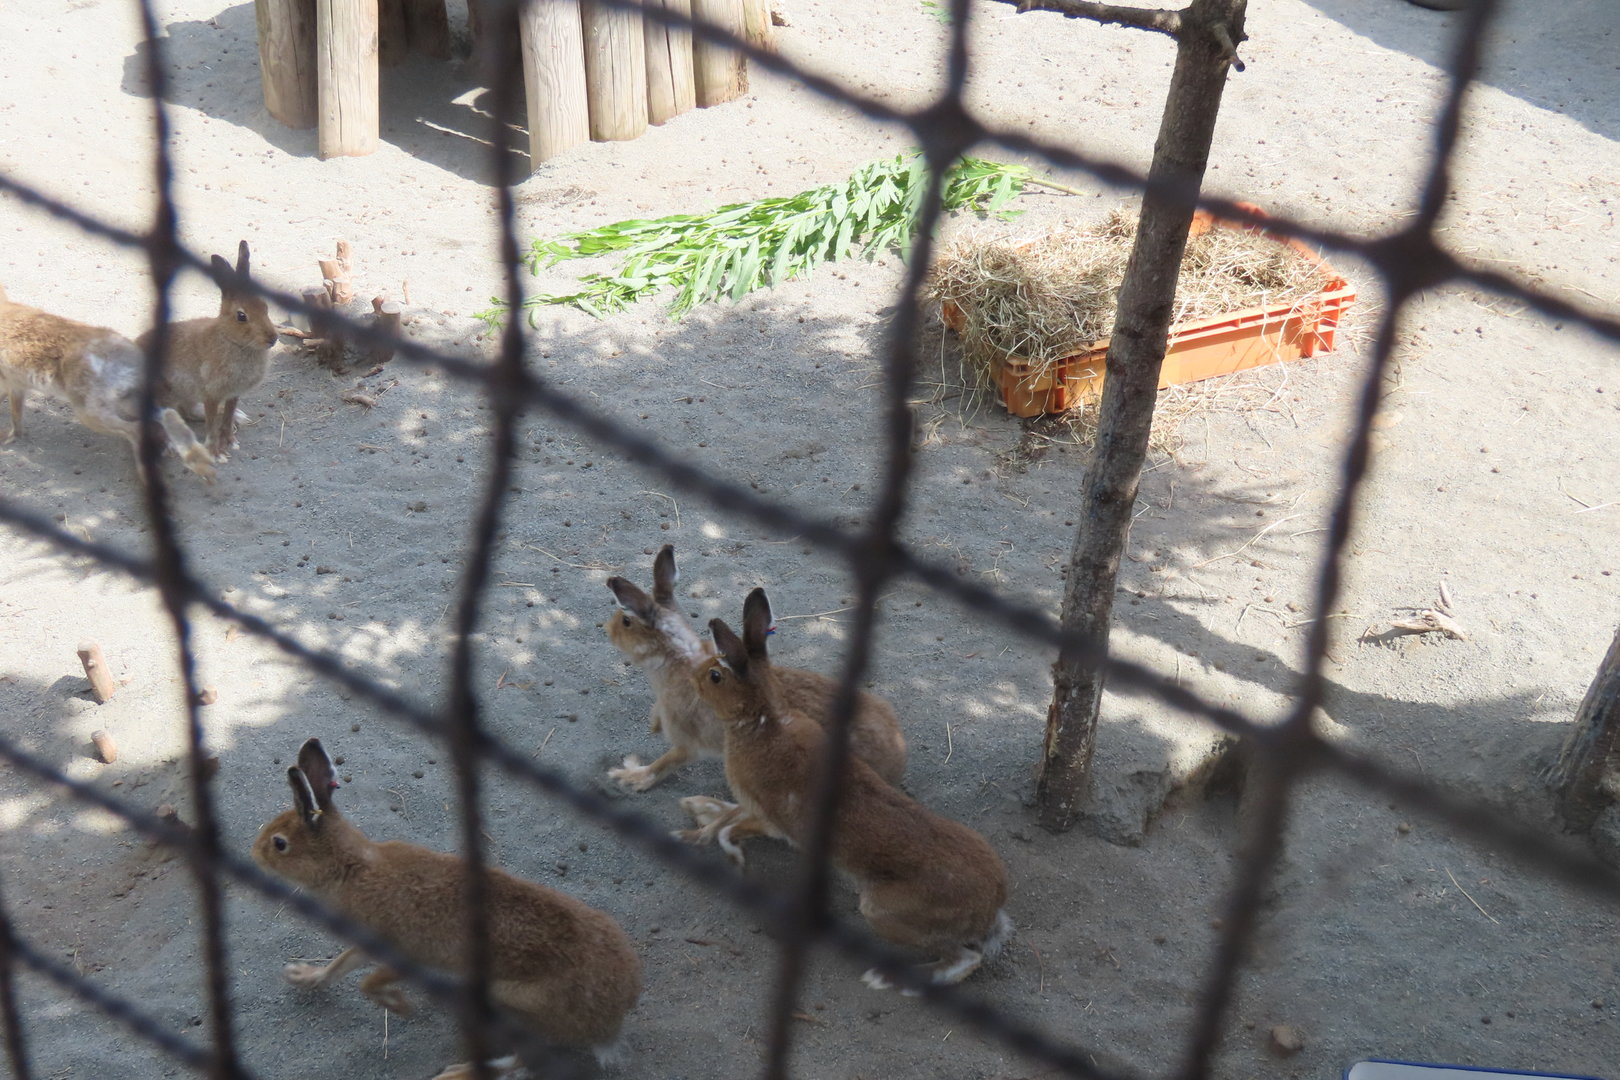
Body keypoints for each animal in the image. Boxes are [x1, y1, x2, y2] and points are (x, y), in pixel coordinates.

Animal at [0, 285, 216, 482]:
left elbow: (14, 411)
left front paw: (9, 438)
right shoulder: (16, 386)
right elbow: (17, 413)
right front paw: (15, 435)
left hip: (90, 412)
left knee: (135, 429)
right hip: (129, 400)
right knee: (167, 415)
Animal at [136, 240, 278, 460]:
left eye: (265, 307)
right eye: (241, 316)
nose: (273, 339)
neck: (231, 340)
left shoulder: (232, 394)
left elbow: (227, 417)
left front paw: (231, 441)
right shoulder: (211, 393)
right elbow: (211, 426)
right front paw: (215, 453)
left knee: (187, 412)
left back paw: (239, 418)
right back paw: (168, 446)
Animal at [251, 738, 642, 1076]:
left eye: (279, 843)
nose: (254, 855)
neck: (352, 869)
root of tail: (611, 1021)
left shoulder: (404, 952)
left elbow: (368, 982)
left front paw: (400, 1006)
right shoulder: (367, 943)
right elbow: (340, 967)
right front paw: (304, 977)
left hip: (514, 1005)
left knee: (522, 1062)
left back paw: (456, 1073)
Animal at [604, 543, 907, 800]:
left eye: (626, 620)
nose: (608, 630)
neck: (677, 659)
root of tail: (897, 751)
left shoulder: (687, 740)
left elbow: (665, 763)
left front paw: (629, 778)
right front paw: (652, 725)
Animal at [690, 588, 1012, 990]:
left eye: (715, 675)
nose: (692, 677)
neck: (762, 721)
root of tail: (990, 906)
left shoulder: (769, 816)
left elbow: (731, 830)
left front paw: (733, 858)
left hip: (884, 912)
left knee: (962, 959)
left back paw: (887, 979)